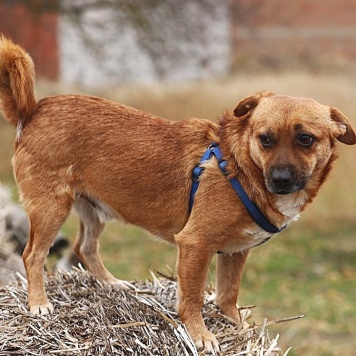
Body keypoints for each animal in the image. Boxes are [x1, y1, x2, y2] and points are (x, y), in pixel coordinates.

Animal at [0, 34, 354, 352]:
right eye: (265, 139)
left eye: (306, 139)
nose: (280, 179)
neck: (241, 165)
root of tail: (33, 110)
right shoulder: (195, 245)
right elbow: (193, 298)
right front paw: (200, 335)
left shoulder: (235, 253)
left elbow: (228, 295)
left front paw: (235, 327)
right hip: (52, 208)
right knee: (33, 255)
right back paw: (39, 303)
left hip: (93, 210)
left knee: (84, 247)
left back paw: (112, 284)